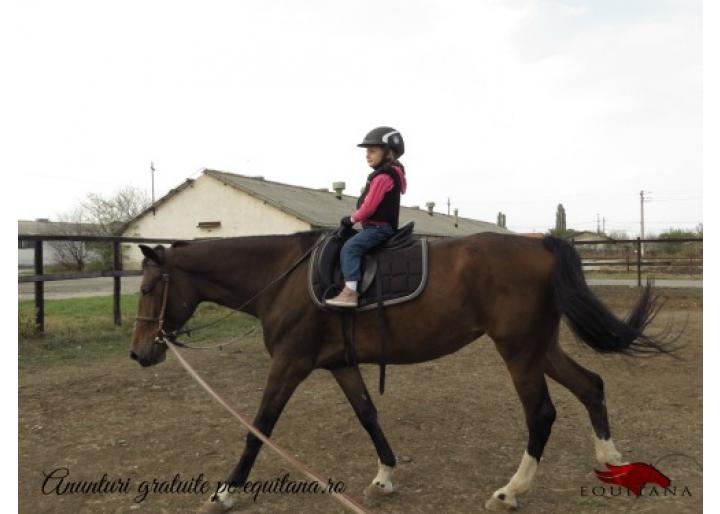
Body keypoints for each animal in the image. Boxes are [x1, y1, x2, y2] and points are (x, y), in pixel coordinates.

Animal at [128, 230, 668, 510]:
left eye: (149, 288)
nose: (139, 354)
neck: (282, 279)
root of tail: (540, 243)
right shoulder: (340, 365)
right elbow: (368, 415)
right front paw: (385, 476)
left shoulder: (289, 364)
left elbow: (258, 427)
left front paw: (225, 491)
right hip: (540, 348)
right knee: (591, 385)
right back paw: (610, 459)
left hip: (519, 353)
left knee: (541, 414)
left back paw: (511, 491)